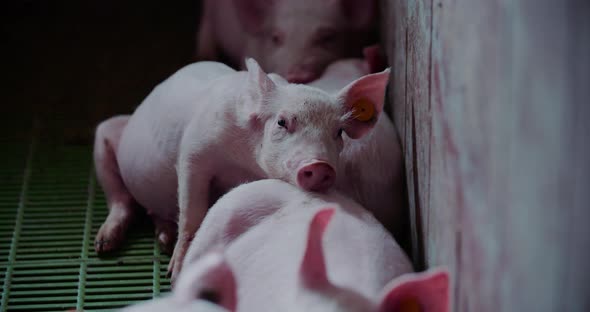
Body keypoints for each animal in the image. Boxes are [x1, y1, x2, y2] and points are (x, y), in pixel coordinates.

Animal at [92, 56, 394, 282]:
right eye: (282, 122)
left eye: (339, 132)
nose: (319, 165)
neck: (242, 163)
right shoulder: (193, 151)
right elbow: (192, 211)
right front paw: (175, 275)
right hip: (105, 135)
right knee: (121, 196)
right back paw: (104, 245)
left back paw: (163, 237)